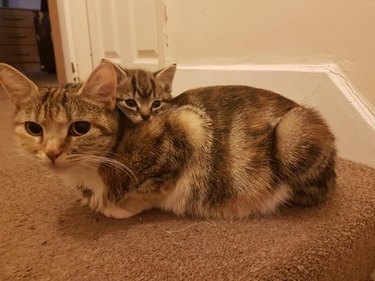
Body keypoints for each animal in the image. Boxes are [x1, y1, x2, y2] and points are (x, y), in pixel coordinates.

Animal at [0, 61, 338, 219]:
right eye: (34, 128)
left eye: (79, 128)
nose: (52, 152)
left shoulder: (188, 124)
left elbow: (147, 192)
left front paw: (118, 207)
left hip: (292, 133)